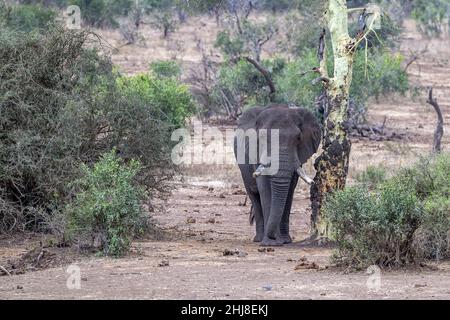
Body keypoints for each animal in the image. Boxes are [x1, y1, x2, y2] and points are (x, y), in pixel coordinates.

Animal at [234, 104, 322, 246]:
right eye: (262, 138)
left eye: (298, 138)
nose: (274, 238)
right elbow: (264, 188)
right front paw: (270, 243)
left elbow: (289, 191)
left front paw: (285, 241)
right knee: (254, 196)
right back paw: (259, 239)